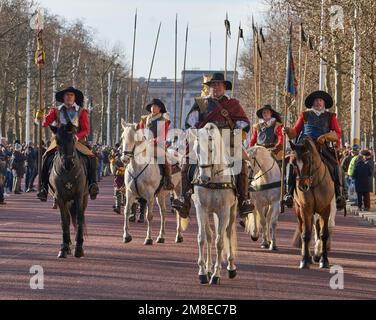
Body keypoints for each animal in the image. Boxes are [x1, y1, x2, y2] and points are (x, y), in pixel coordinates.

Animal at [50, 124, 88, 258]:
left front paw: (79, 247)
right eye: (57, 141)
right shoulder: (60, 198)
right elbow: (64, 221)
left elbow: (79, 219)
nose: (68, 164)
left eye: (73, 139)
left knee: (79, 217)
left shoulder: (79, 196)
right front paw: (64, 247)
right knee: (67, 217)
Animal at [189, 123, 239, 284]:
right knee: (210, 235)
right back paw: (209, 268)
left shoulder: (224, 211)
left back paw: (231, 267)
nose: (203, 178)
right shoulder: (200, 208)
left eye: (211, 149)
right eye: (197, 149)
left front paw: (217, 275)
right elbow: (202, 238)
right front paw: (203, 272)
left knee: (228, 233)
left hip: (232, 211)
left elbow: (220, 241)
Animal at [290, 138, 334, 270]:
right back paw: (308, 256)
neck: (314, 182)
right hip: (298, 210)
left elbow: (324, 234)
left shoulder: (325, 209)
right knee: (302, 229)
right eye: (293, 163)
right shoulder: (306, 209)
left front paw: (324, 260)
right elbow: (305, 234)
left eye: (308, 161)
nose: (302, 186)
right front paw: (304, 260)